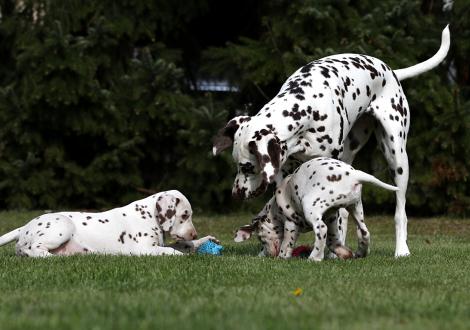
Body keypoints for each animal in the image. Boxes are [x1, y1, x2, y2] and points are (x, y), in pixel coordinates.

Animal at [0, 191, 218, 258]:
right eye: (184, 215)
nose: (193, 233)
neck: (149, 216)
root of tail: (24, 227)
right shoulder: (144, 249)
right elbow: (173, 251)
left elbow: (181, 245)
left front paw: (203, 241)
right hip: (63, 227)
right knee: (31, 250)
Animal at [234, 157, 396, 260]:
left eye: (260, 238)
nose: (263, 255)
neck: (274, 208)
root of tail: (353, 174)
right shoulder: (331, 217)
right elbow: (333, 242)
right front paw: (344, 253)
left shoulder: (290, 223)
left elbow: (286, 244)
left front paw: (282, 257)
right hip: (355, 207)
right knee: (364, 232)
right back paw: (361, 253)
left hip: (310, 207)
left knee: (321, 229)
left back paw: (315, 257)